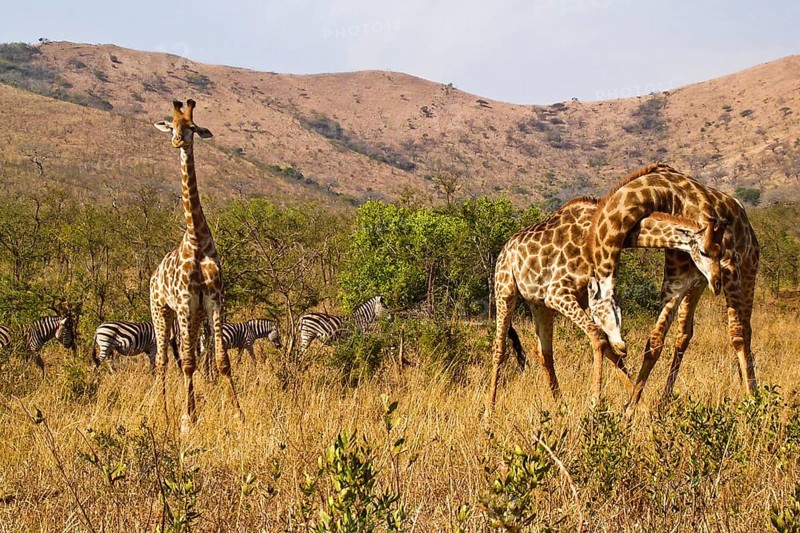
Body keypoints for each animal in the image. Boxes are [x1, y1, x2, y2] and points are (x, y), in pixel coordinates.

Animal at [152, 99, 242, 432]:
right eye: (171, 125)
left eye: (191, 126)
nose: (178, 140)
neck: (197, 239)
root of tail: (153, 275)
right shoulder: (183, 302)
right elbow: (188, 361)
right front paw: (186, 420)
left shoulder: (214, 300)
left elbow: (220, 360)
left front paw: (238, 414)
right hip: (162, 310)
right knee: (164, 360)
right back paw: (164, 412)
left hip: (193, 315)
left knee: (183, 358)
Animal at [485, 197, 724, 414]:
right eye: (704, 251)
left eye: (721, 252)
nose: (716, 282)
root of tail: (505, 249)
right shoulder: (558, 293)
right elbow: (599, 338)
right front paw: (595, 404)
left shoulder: (586, 297)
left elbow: (609, 345)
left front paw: (636, 403)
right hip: (505, 290)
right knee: (500, 347)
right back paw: (489, 411)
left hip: (538, 303)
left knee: (544, 351)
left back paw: (561, 407)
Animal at [585, 163, 759, 415]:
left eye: (612, 314)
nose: (620, 348)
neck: (668, 195)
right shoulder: (676, 282)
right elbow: (655, 341)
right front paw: (630, 410)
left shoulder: (729, 269)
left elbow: (736, 334)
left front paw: (751, 400)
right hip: (698, 285)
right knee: (684, 334)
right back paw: (666, 399)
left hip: (748, 271)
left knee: (743, 332)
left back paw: (753, 394)